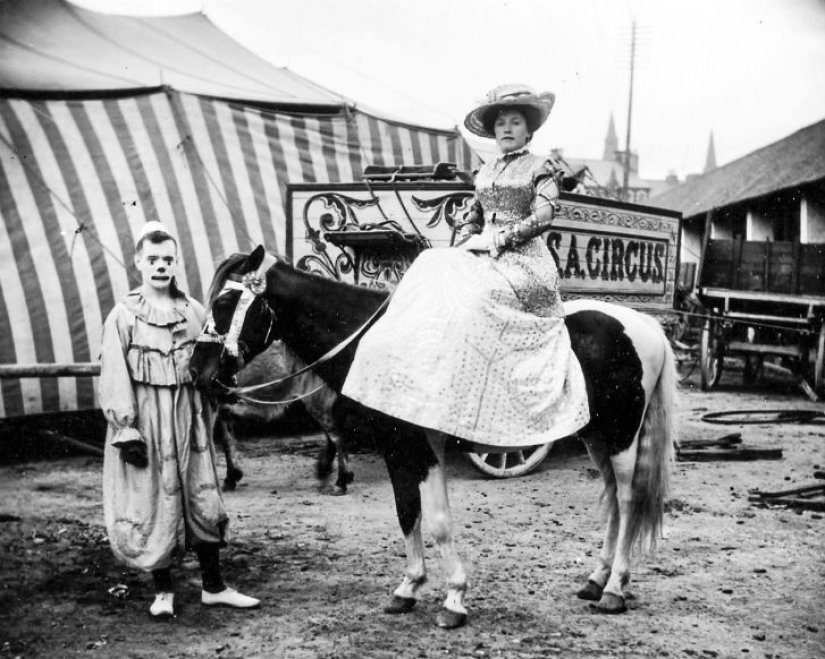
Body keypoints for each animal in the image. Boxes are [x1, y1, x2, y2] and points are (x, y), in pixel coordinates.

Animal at [192, 248, 676, 628]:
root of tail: (645, 325)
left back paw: (615, 589)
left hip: (622, 437)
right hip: (597, 438)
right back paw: (596, 580)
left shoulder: (419, 447)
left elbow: (438, 521)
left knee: (628, 499)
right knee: (613, 500)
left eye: (226, 300)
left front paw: (454, 599)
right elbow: (409, 514)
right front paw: (408, 589)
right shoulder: (400, 448)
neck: (378, 340)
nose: (198, 370)